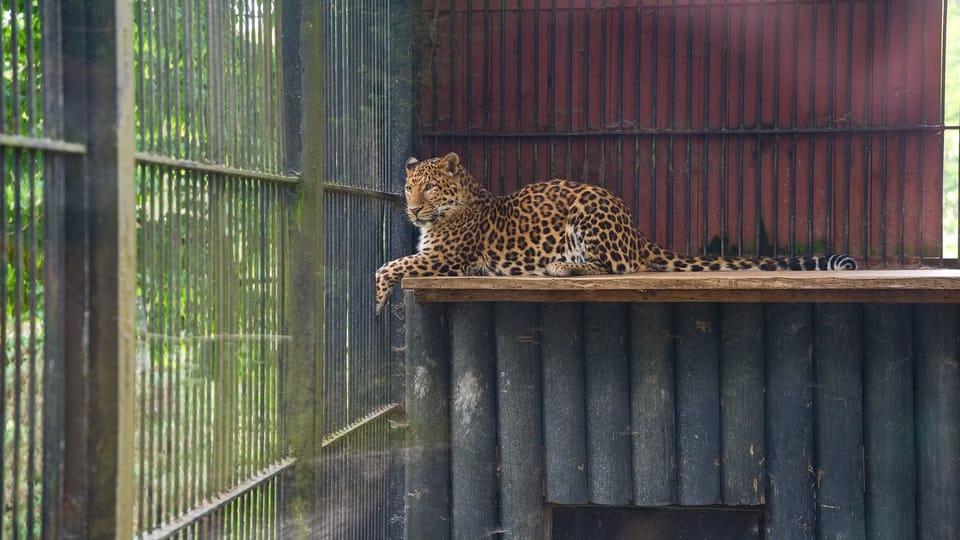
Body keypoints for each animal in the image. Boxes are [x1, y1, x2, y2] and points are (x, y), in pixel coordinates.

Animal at [375, 152, 857, 314]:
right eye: (409, 186)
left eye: (430, 187)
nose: (411, 207)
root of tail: (636, 229)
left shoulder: (444, 259)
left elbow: (386, 266)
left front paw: (378, 306)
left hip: (588, 213)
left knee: (613, 266)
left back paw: (560, 268)